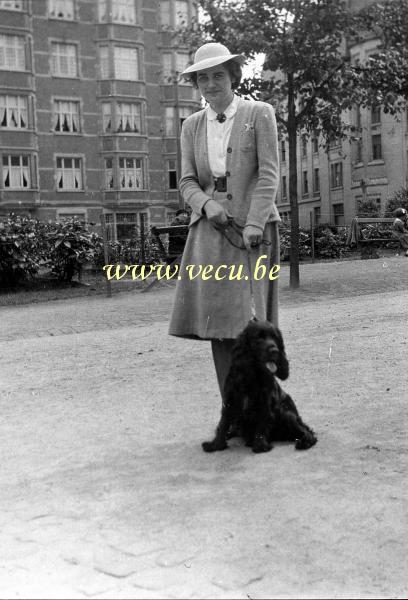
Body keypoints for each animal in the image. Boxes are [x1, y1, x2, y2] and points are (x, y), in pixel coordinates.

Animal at [202, 322, 318, 452]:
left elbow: (262, 423)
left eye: (275, 337)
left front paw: (260, 445)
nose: (275, 351)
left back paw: (304, 442)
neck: (253, 374)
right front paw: (216, 444)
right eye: (259, 338)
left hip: (287, 414)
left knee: (307, 432)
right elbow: (224, 423)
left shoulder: (264, 402)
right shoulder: (230, 401)